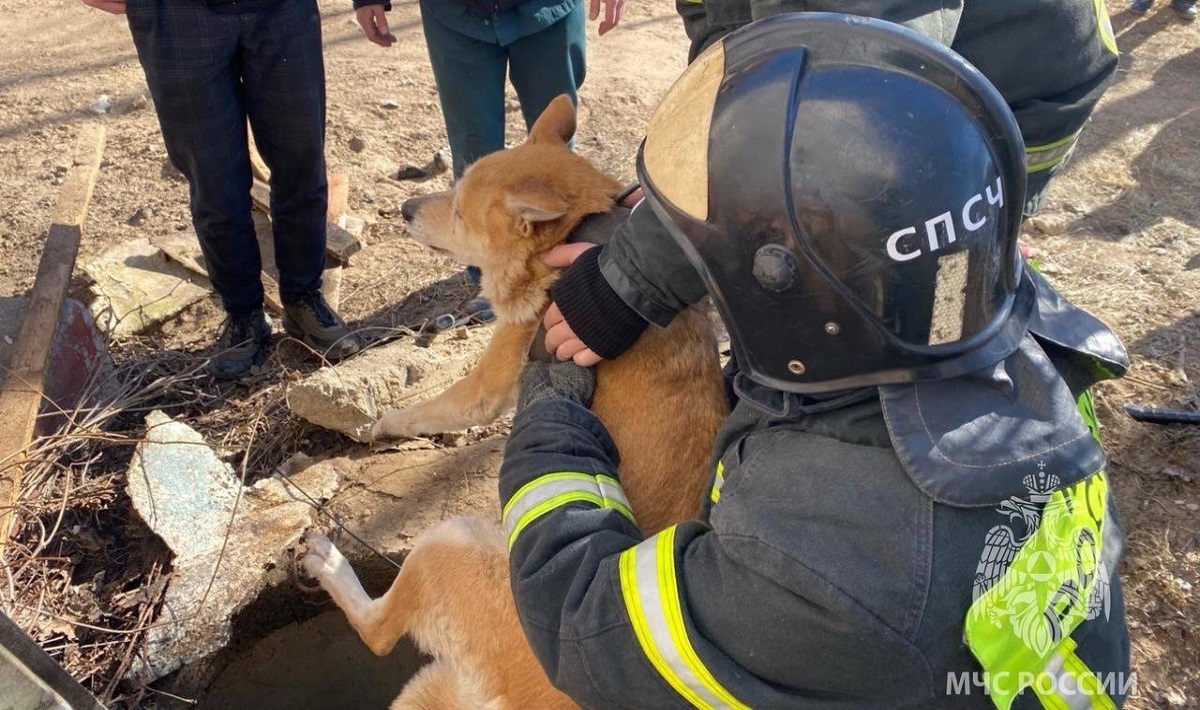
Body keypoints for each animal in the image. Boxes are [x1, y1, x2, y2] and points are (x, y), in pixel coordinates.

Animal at [304, 95, 724, 710]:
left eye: (458, 211)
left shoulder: (490, 381)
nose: (404, 207)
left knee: (379, 631)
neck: (579, 240)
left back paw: (331, 566)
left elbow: (431, 408)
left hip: (447, 540)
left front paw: (382, 423)